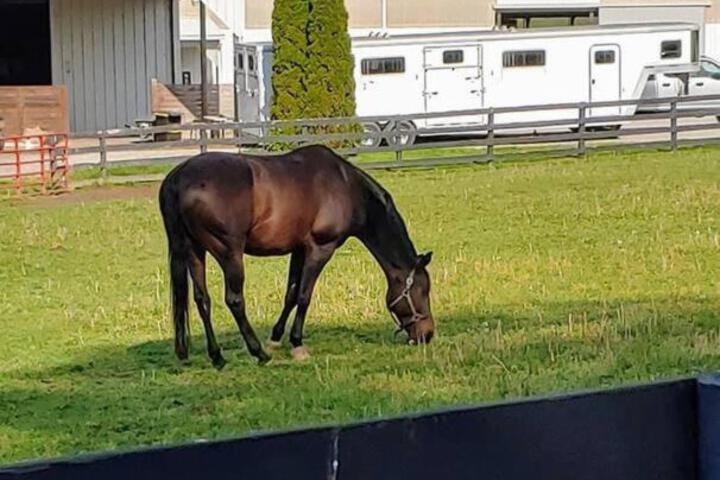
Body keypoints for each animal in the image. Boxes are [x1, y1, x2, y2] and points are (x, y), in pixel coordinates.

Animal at [158, 144, 434, 367]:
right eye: (421, 291)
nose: (427, 334)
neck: (346, 186)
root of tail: (179, 176)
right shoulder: (320, 248)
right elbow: (304, 295)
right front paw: (297, 344)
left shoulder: (299, 249)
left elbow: (290, 294)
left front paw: (275, 339)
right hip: (228, 252)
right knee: (234, 300)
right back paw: (258, 353)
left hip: (194, 250)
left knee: (202, 299)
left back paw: (217, 356)